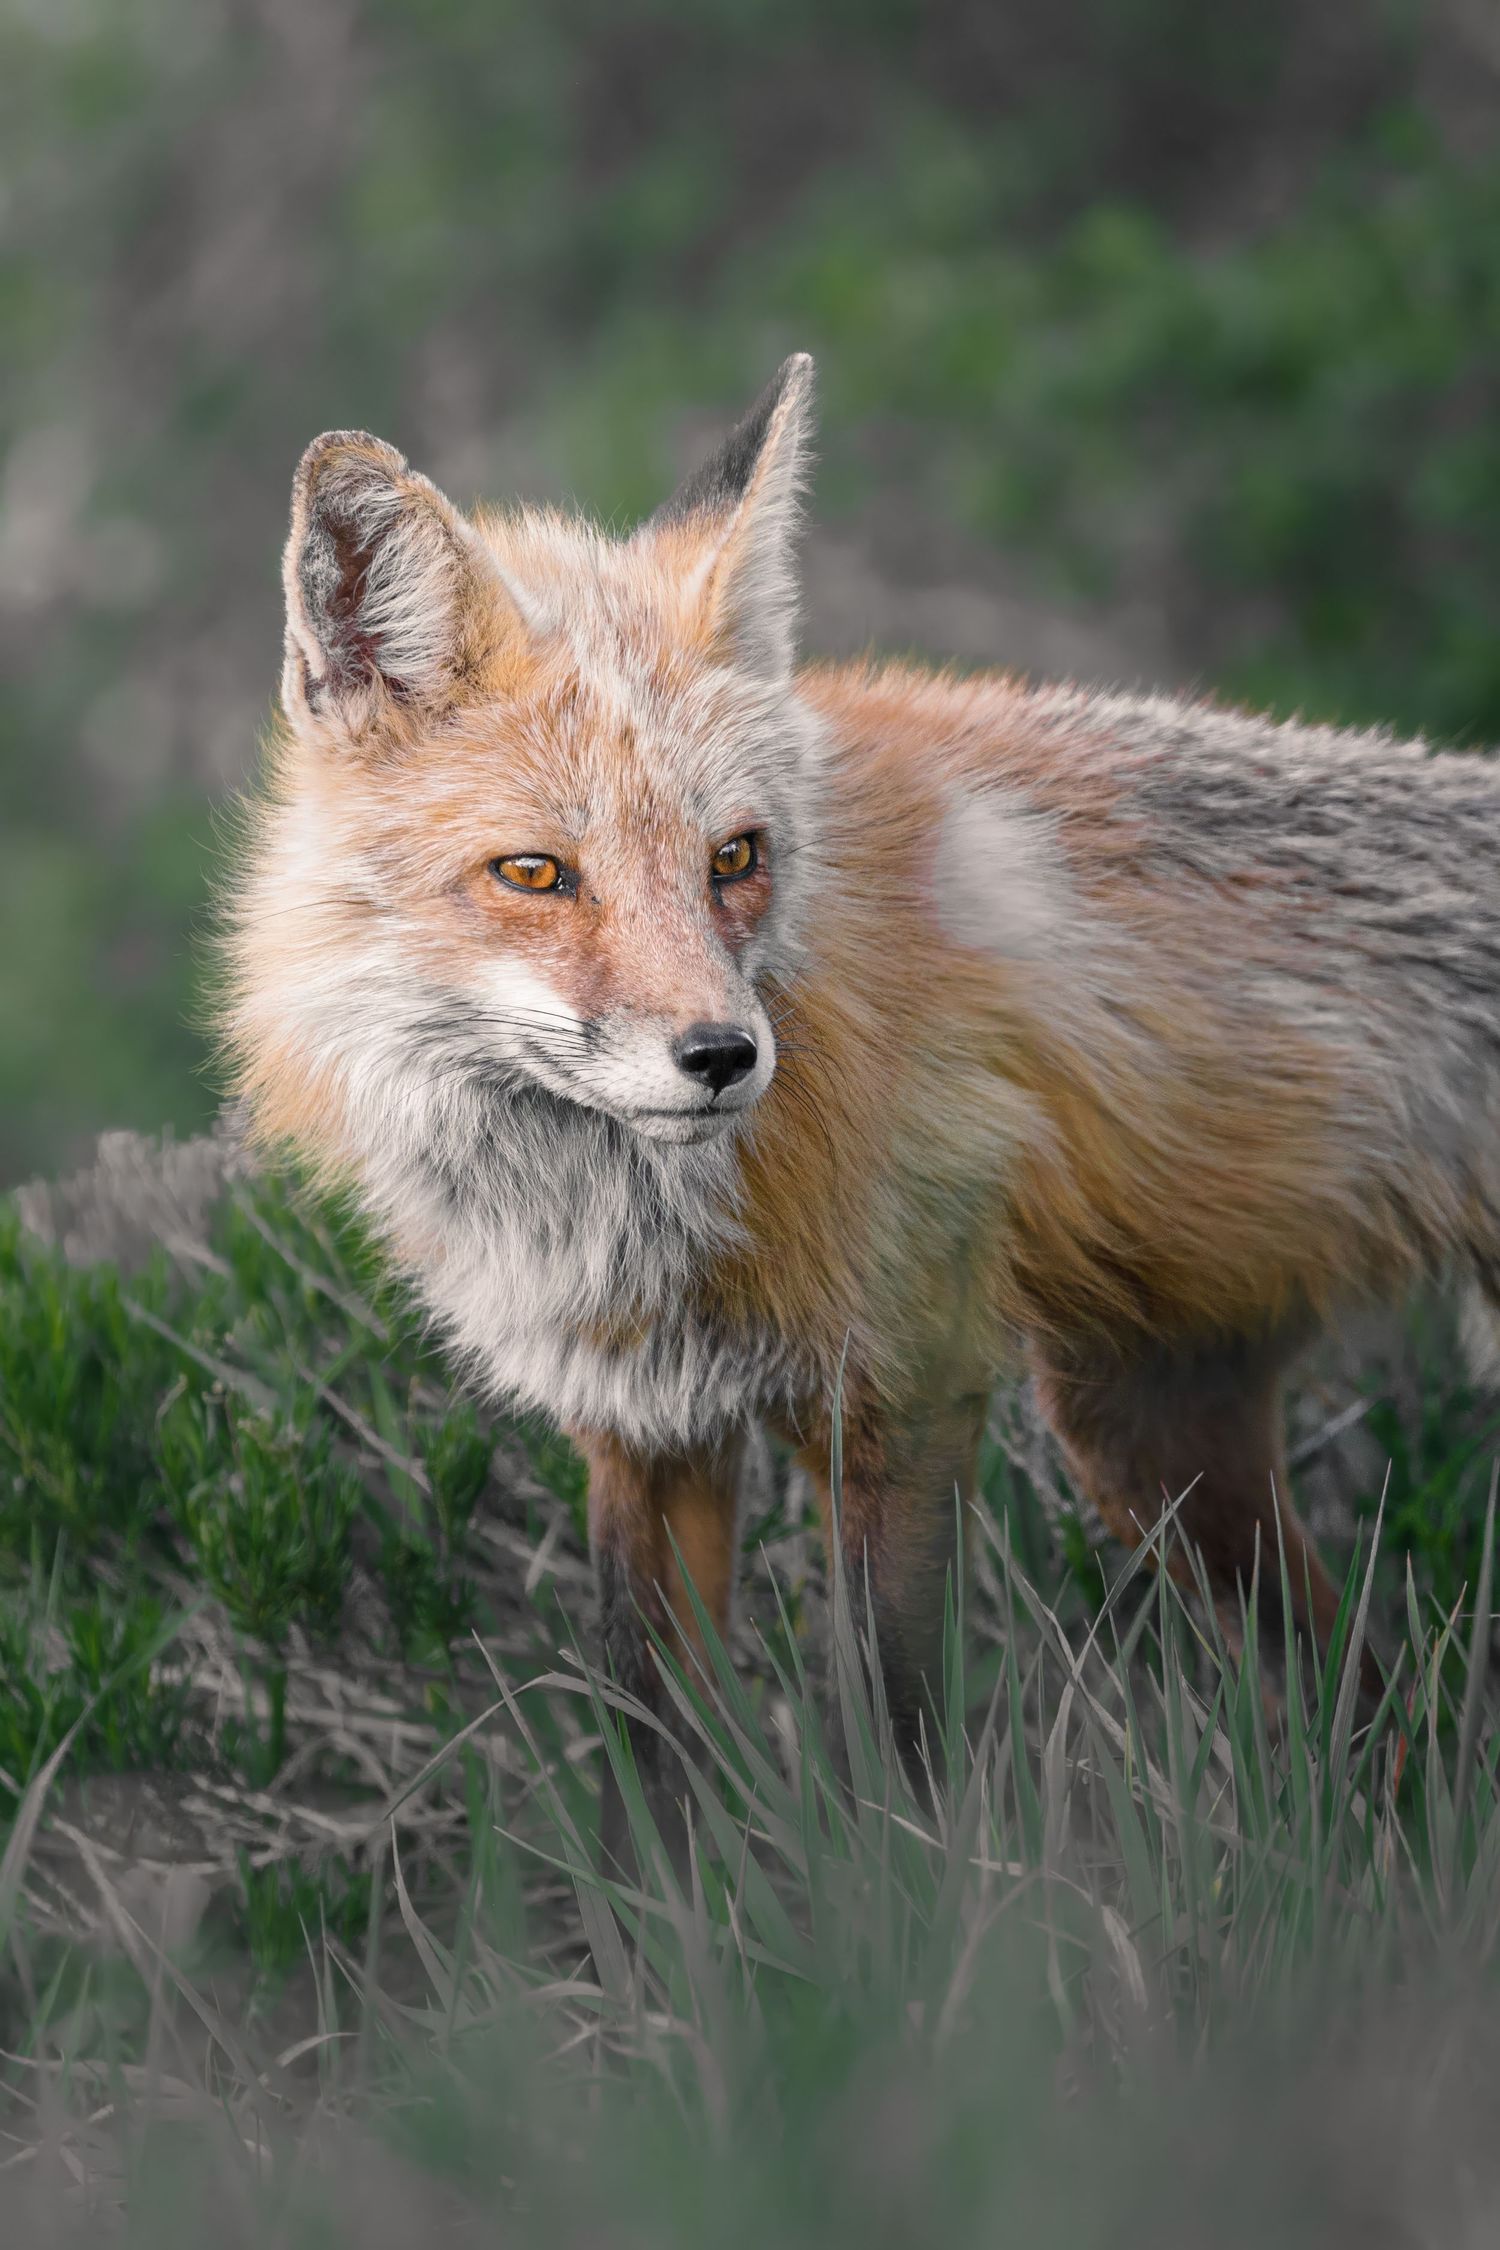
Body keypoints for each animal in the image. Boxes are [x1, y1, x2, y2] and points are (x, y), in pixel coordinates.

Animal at [222, 354, 1500, 1846]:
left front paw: (921, 1910)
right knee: (1382, 1701)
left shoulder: (904, 1393)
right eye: (535, 873)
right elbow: (656, 1771)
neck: (636, 1231)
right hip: (1145, 1429)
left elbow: (894, 1764)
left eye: (735, 857)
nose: (723, 1055)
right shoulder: (644, 1433)